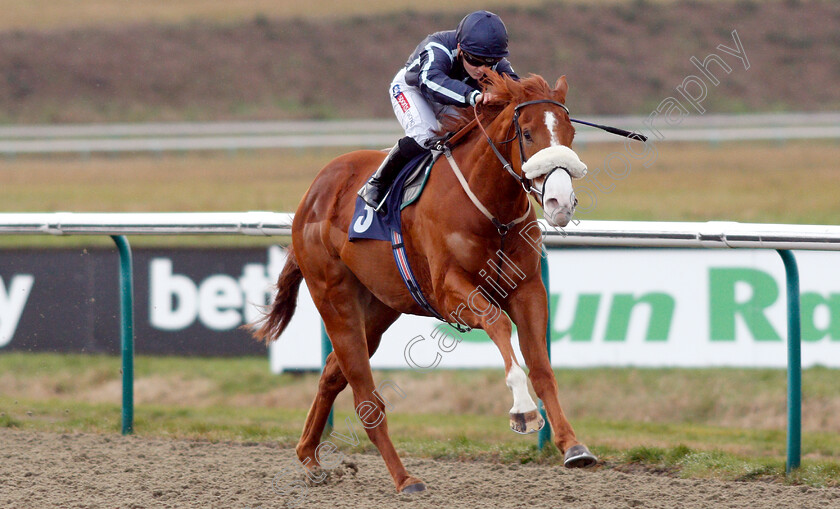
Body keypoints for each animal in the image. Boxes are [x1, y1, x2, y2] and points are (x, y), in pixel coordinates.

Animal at [254, 72, 596, 492]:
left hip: (379, 307)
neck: (490, 210)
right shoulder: (451, 294)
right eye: (528, 133)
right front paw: (523, 410)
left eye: (570, 132)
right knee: (366, 399)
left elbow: (542, 367)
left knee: (332, 373)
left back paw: (309, 457)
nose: (560, 203)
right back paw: (404, 478)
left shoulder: (529, 289)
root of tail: (311, 195)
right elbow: (498, 323)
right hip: (334, 298)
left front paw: (572, 445)